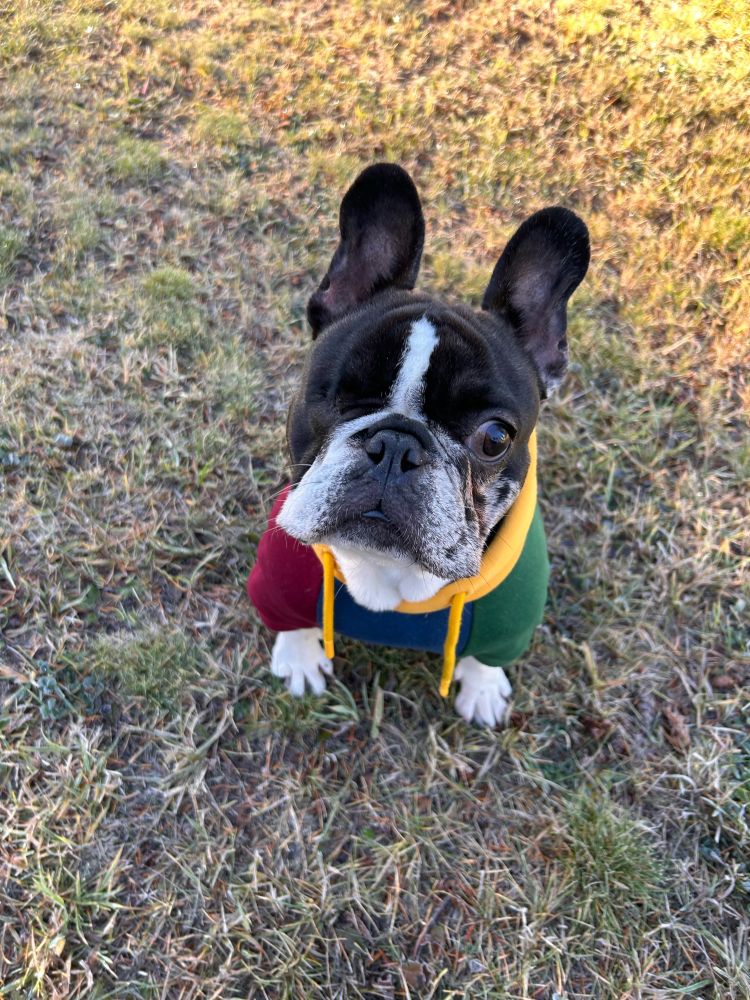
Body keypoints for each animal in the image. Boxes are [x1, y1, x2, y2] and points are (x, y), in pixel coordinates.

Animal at [248, 163, 589, 727]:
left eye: (495, 437)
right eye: (335, 395)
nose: (395, 446)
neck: (388, 574)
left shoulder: (511, 618)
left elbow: (486, 656)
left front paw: (482, 686)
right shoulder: (279, 582)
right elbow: (291, 622)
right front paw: (298, 657)